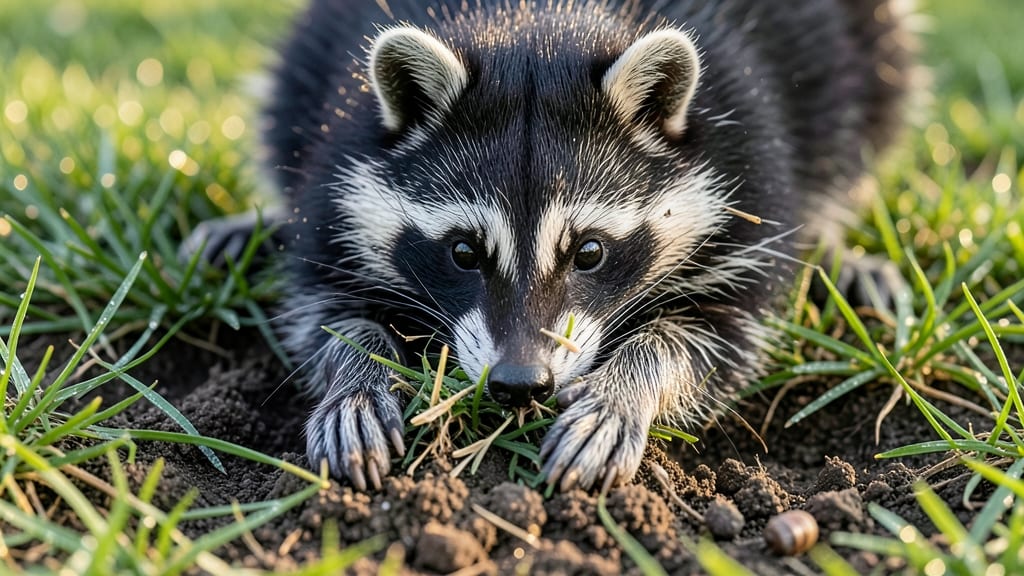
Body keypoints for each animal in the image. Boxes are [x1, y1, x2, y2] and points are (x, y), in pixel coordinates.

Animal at [202, 0, 911, 492]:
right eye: (464, 253)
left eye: (589, 253)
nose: (520, 384)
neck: (542, 23)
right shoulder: (341, 167)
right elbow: (327, 310)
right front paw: (359, 375)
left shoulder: (747, 173)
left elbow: (715, 336)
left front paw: (624, 390)